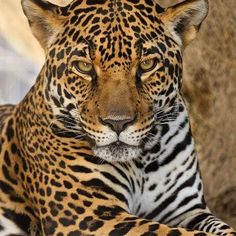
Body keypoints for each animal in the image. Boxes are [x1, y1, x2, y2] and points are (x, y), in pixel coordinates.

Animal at [0, 0, 236, 235]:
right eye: (84, 66)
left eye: (147, 65)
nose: (118, 123)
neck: (142, 162)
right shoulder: (88, 216)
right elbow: (167, 231)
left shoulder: (186, 209)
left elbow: (220, 227)